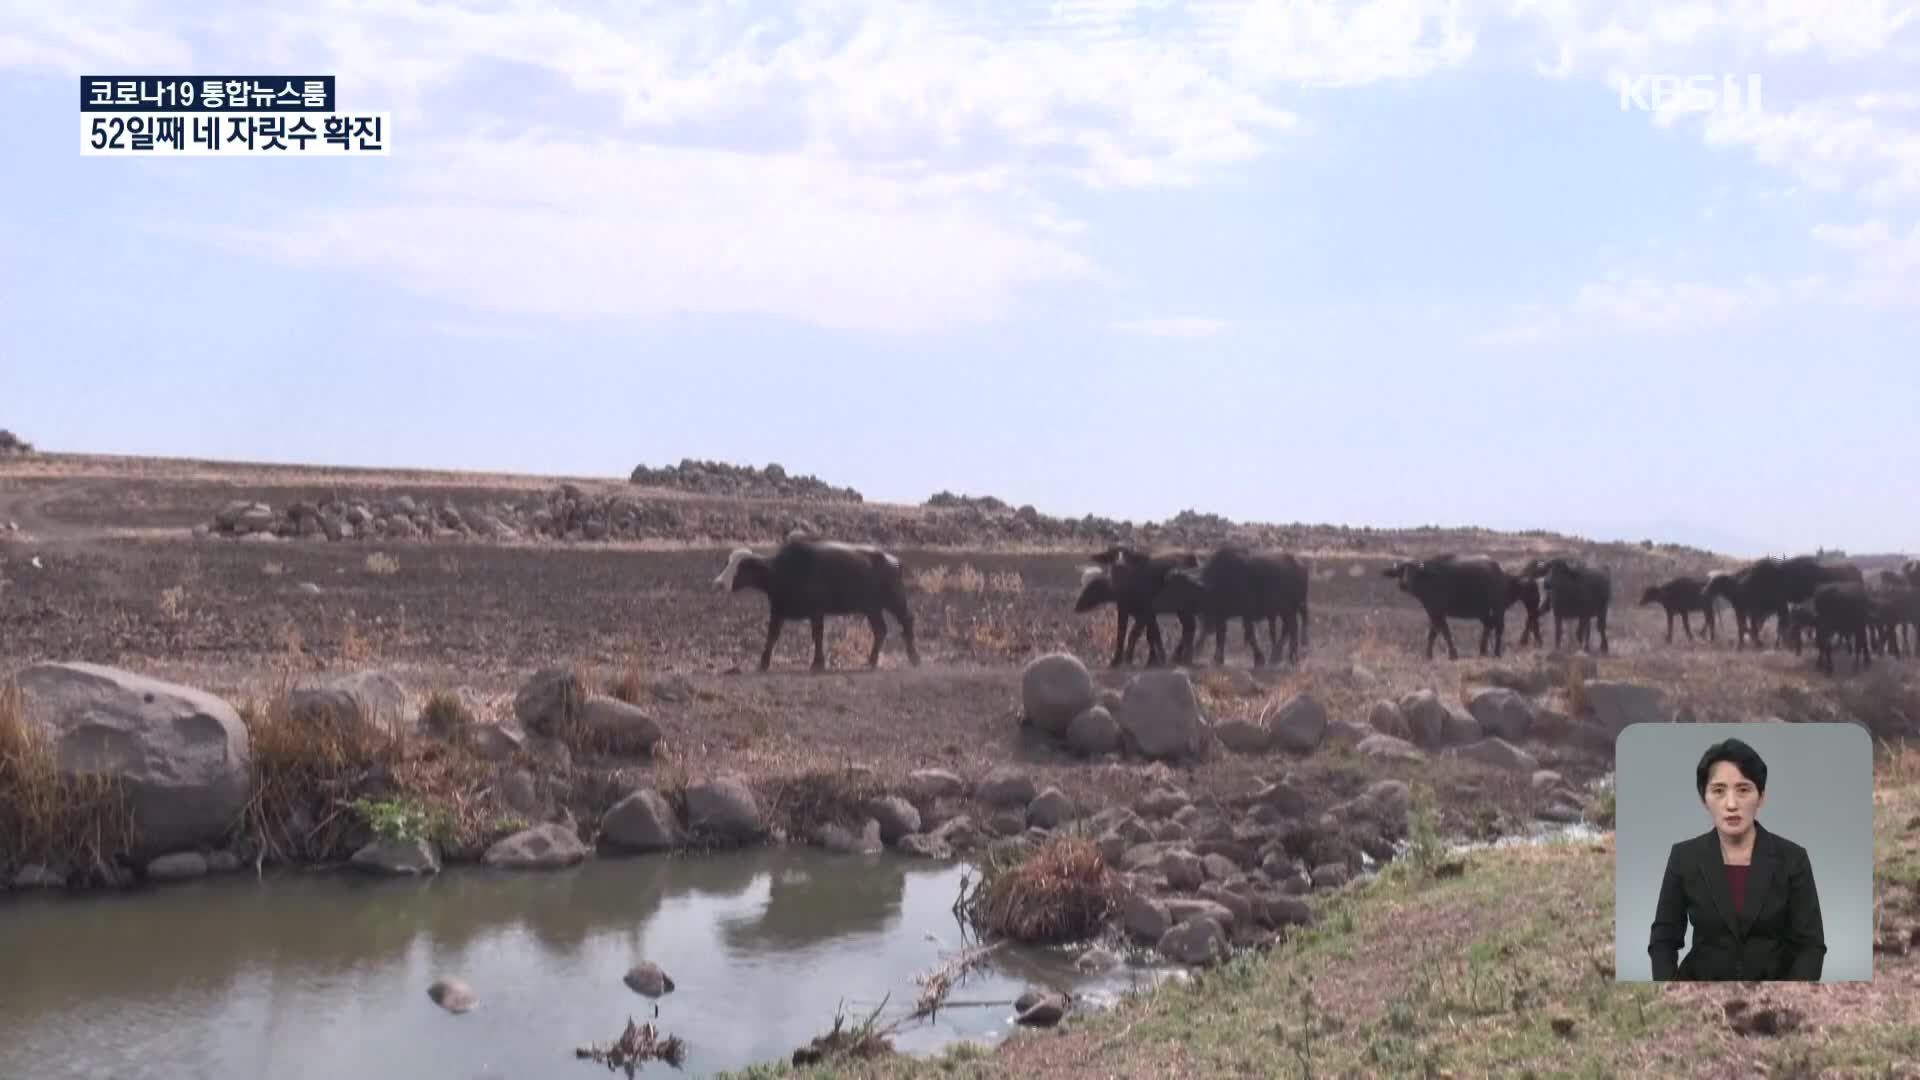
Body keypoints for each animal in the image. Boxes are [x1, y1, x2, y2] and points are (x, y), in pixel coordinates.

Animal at [718, 534, 917, 668]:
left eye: (741, 567)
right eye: (727, 562)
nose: (718, 583)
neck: (782, 571)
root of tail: (894, 561)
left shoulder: (816, 612)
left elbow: (818, 635)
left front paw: (818, 663)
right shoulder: (778, 611)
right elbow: (772, 636)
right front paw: (763, 663)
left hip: (895, 601)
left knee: (907, 621)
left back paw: (914, 658)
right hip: (872, 608)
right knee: (880, 630)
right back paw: (872, 661)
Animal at [1144, 545, 1313, 664]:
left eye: (1177, 588)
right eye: (1167, 584)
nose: (1154, 603)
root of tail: (1300, 565)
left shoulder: (1244, 614)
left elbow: (1249, 635)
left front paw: (1258, 658)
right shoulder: (1221, 615)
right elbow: (1221, 635)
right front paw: (1218, 658)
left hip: (1288, 608)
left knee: (1293, 628)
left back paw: (1291, 656)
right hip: (1285, 610)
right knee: (1289, 628)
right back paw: (1279, 656)